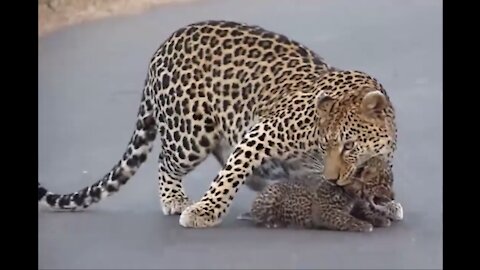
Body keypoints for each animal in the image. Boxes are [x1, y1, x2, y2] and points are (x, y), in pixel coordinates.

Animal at [38, 20, 398, 228]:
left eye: (348, 146)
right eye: (326, 144)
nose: (332, 176)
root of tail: (164, 44)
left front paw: (385, 205)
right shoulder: (263, 130)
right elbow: (230, 174)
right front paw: (205, 211)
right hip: (190, 134)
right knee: (165, 161)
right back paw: (175, 199)